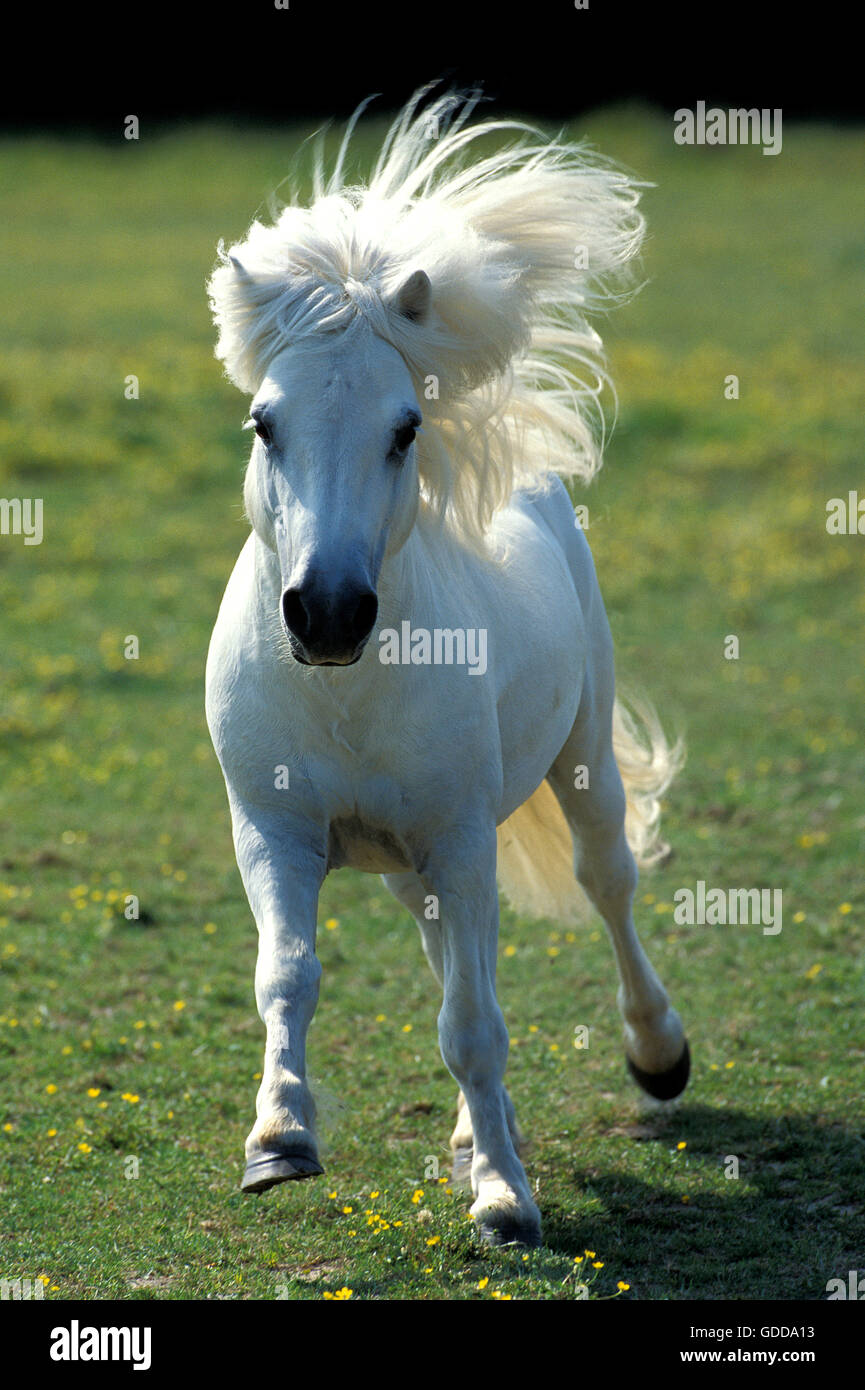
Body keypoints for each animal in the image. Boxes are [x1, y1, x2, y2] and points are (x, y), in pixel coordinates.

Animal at [207, 89, 686, 1251]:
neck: (344, 691)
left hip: (575, 766)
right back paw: (474, 1137)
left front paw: (507, 1202)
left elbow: (471, 1022)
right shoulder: (274, 831)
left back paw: (655, 1055)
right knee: (444, 953)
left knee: (606, 884)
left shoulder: (463, 838)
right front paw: (279, 1140)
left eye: (404, 427)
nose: (328, 612)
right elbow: (286, 976)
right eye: (263, 422)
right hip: (413, 860)